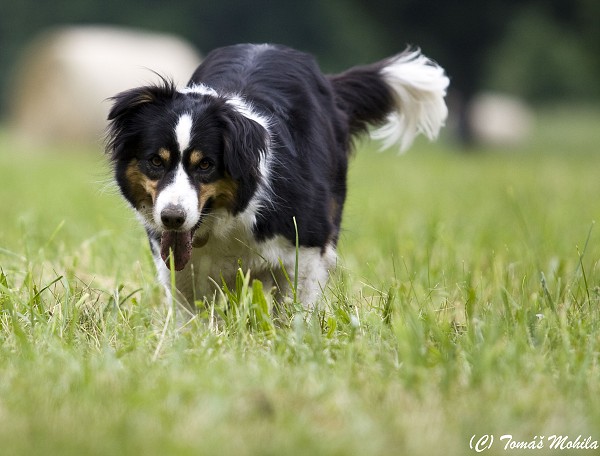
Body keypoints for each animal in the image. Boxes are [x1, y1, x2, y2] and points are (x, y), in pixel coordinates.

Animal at [105, 42, 448, 310]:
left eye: (205, 165)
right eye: (155, 161)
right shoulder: (180, 265)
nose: (172, 218)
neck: (227, 221)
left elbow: (294, 311)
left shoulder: (306, 248)